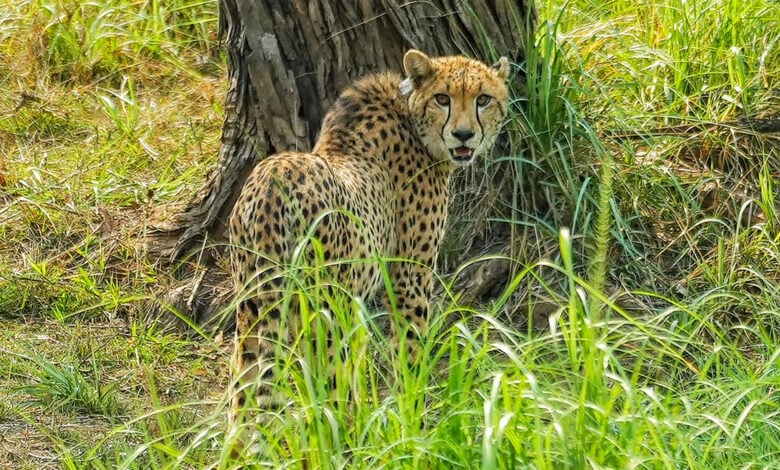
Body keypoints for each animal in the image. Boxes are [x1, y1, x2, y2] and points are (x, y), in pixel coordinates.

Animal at [227, 49, 510, 432]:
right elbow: (409, 351)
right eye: (442, 98)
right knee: (328, 393)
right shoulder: (408, 279)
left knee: (243, 397)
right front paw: (411, 417)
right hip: (324, 313)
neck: (412, 116)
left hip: (253, 306)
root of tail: (274, 177)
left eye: (483, 99)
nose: (463, 135)